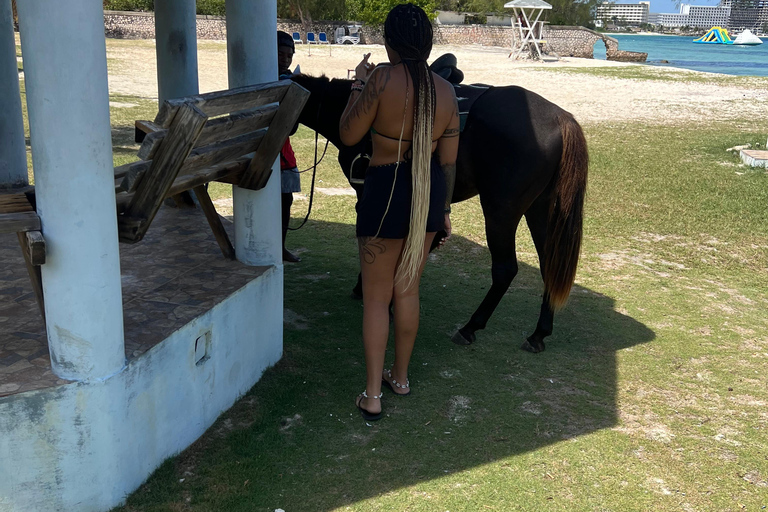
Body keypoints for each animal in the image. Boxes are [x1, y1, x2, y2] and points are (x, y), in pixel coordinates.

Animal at [292, 72, 588, 352]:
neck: (348, 106)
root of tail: (560, 118)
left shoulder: (368, 194)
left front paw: (367, 289)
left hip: (501, 212)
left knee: (505, 269)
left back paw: (470, 327)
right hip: (539, 210)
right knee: (549, 265)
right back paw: (538, 334)